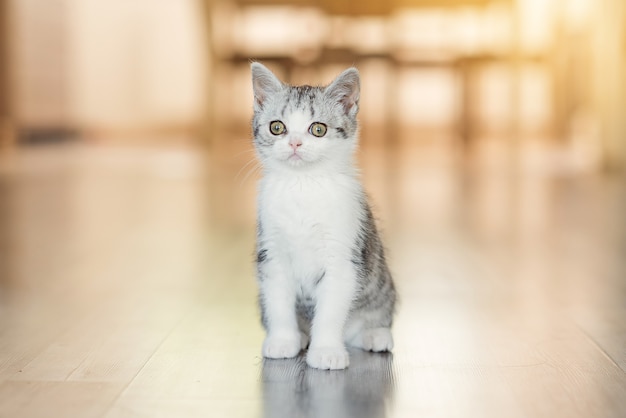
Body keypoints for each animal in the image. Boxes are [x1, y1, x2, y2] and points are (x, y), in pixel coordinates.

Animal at [250, 62, 392, 370]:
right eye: (277, 127)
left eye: (318, 129)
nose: (294, 144)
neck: (304, 186)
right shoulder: (272, 253)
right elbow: (278, 301)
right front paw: (283, 340)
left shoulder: (342, 256)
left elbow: (331, 309)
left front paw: (326, 350)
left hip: (380, 287)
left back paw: (375, 335)